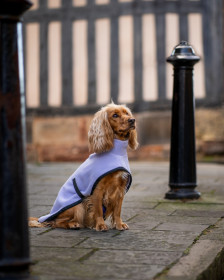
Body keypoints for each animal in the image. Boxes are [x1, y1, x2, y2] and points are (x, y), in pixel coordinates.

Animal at [29, 103, 138, 232]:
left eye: (126, 113)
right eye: (115, 115)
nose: (132, 120)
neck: (116, 153)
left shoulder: (120, 188)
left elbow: (117, 210)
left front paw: (119, 224)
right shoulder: (97, 189)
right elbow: (98, 210)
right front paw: (100, 225)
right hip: (77, 206)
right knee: (57, 222)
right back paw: (73, 224)